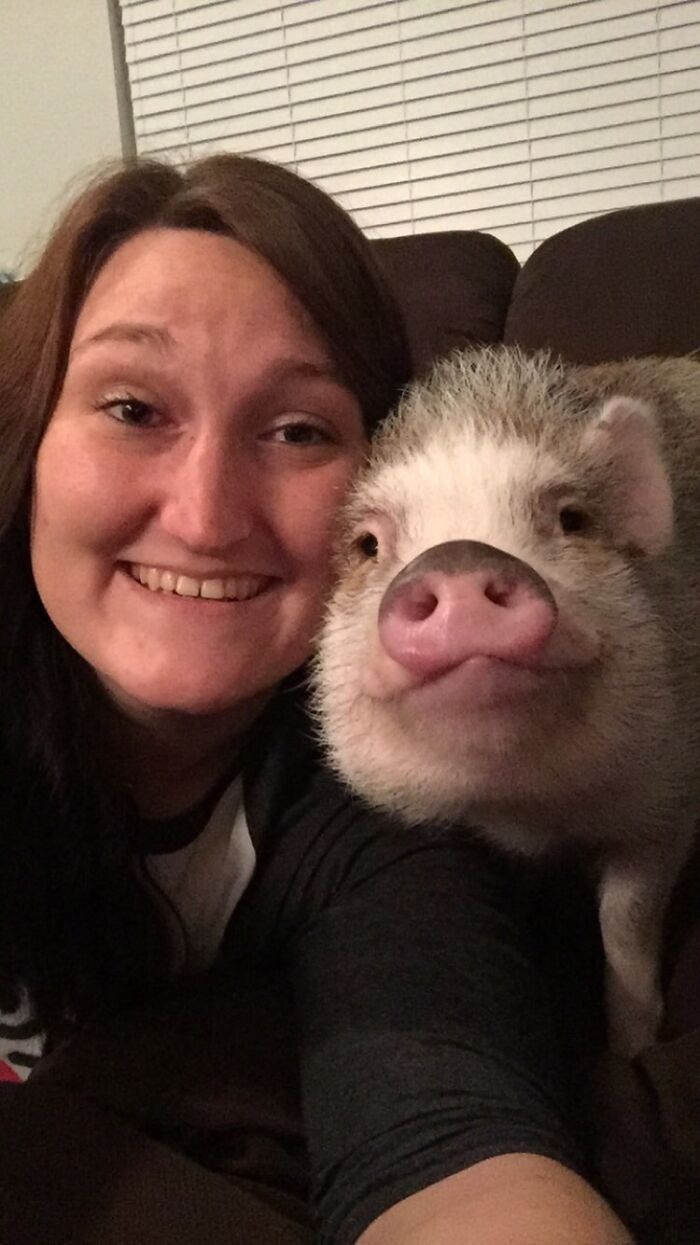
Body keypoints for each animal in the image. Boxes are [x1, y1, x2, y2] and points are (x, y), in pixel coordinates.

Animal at [312, 345, 700, 1057]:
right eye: (368, 546)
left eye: (573, 519)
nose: (461, 557)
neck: (530, 810)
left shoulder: (669, 800)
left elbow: (627, 924)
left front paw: (630, 1051)